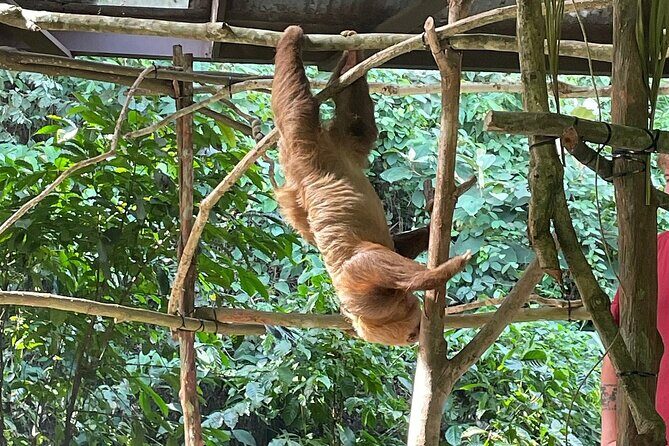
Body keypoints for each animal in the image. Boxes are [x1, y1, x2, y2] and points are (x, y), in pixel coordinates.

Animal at [271, 25, 472, 346]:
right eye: (410, 332)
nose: (416, 335)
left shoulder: (357, 286)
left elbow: (381, 258)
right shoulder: (360, 288)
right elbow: (383, 256)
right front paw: (443, 268)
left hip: (305, 150)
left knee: (296, 108)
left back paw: (301, 41)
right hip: (323, 149)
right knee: (355, 124)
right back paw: (345, 55)